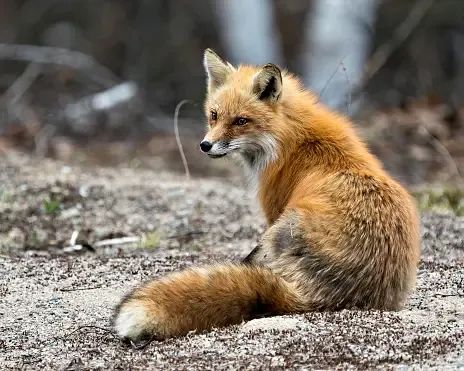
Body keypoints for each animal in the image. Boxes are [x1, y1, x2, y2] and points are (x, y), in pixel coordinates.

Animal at [113, 48, 420, 342]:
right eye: (214, 115)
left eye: (241, 121)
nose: (205, 145)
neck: (290, 139)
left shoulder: (274, 209)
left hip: (283, 227)